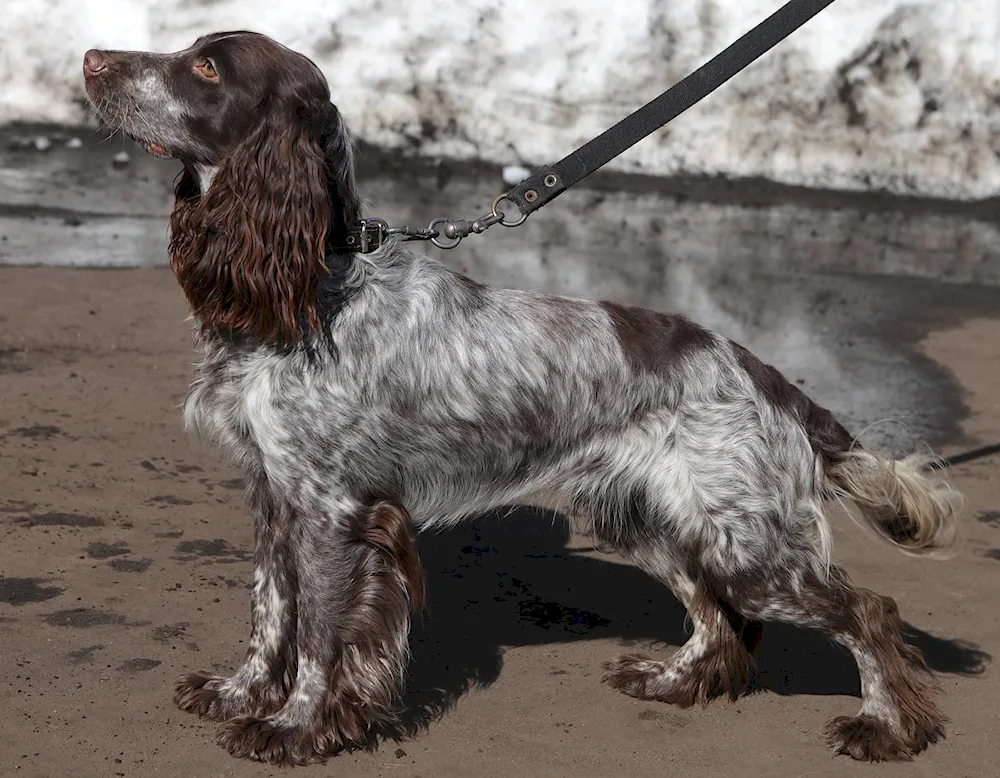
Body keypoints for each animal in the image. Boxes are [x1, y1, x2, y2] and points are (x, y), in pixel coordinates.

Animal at [84, 30, 960, 764]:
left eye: (206, 68)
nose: (91, 59)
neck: (315, 285)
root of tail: (758, 370)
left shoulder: (335, 510)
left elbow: (321, 638)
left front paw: (293, 729)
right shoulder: (273, 495)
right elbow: (271, 612)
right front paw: (238, 693)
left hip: (747, 543)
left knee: (867, 610)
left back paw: (886, 728)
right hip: (660, 519)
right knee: (724, 619)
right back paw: (672, 682)